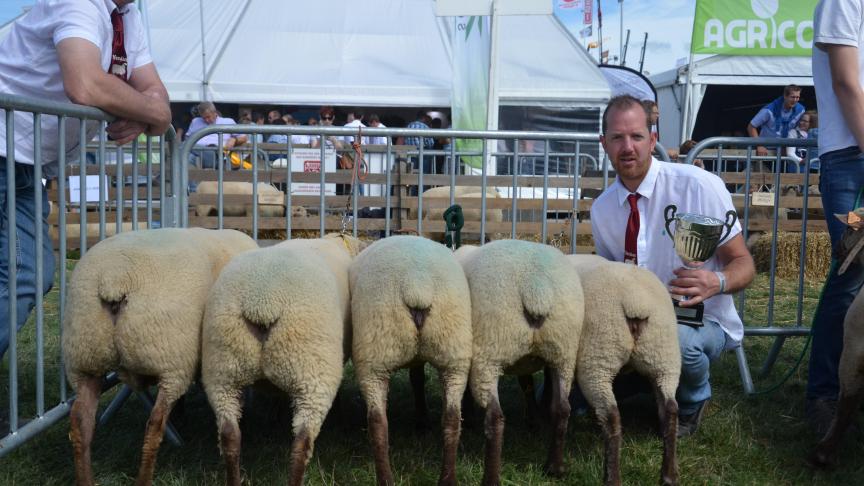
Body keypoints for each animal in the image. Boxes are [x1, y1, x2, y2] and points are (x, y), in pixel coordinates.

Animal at [63, 228, 256, 486]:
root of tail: (113, 280)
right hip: (170, 359)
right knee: (154, 424)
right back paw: (144, 478)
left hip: (84, 358)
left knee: (80, 422)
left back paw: (85, 479)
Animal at [350, 235, 472, 486]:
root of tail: (417, 284)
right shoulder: (419, 358)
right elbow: (418, 380)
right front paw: (422, 420)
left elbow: (416, 380)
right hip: (454, 353)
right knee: (452, 418)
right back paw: (447, 479)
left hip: (374, 355)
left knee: (377, 423)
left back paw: (385, 479)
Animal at [456, 238, 584, 482]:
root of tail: (536, 288)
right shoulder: (526, 359)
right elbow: (527, 385)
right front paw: (532, 421)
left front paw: (468, 417)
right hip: (563, 351)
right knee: (562, 408)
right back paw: (554, 467)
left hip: (491, 351)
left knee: (495, 418)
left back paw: (491, 478)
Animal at [568, 254, 680, 486]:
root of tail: (637, 304)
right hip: (665, 357)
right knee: (670, 408)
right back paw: (669, 475)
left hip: (598, 358)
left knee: (611, 415)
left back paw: (612, 478)